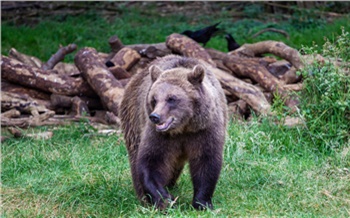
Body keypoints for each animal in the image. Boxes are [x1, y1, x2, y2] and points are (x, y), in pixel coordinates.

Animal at [119, 54, 228, 209]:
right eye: (154, 99)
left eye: (171, 98)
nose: (155, 116)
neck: (183, 128)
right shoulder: (159, 136)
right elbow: (151, 162)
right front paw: (165, 200)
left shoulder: (205, 130)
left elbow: (206, 162)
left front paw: (202, 203)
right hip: (133, 116)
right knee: (135, 155)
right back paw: (144, 197)